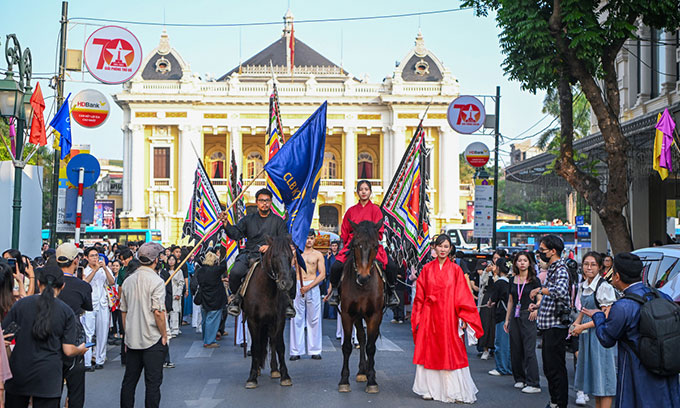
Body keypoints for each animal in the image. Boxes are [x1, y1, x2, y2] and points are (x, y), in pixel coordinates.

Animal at [242, 234, 294, 388]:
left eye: (290, 256)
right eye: (275, 256)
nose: (286, 283)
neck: (266, 290)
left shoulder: (279, 320)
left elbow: (280, 346)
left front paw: (285, 376)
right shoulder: (252, 320)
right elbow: (255, 347)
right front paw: (252, 377)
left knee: (272, 342)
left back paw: (275, 370)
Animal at [338, 218, 386, 394]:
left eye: (376, 246)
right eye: (355, 245)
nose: (363, 277)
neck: (362, 287)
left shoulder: (374, 315)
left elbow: (371, 347)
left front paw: (372, 380)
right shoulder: (347, 314)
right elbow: (346, 346)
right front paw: (344, 380)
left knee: (369, 339)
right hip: (358, 316)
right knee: (361, 337)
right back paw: (361, 371)